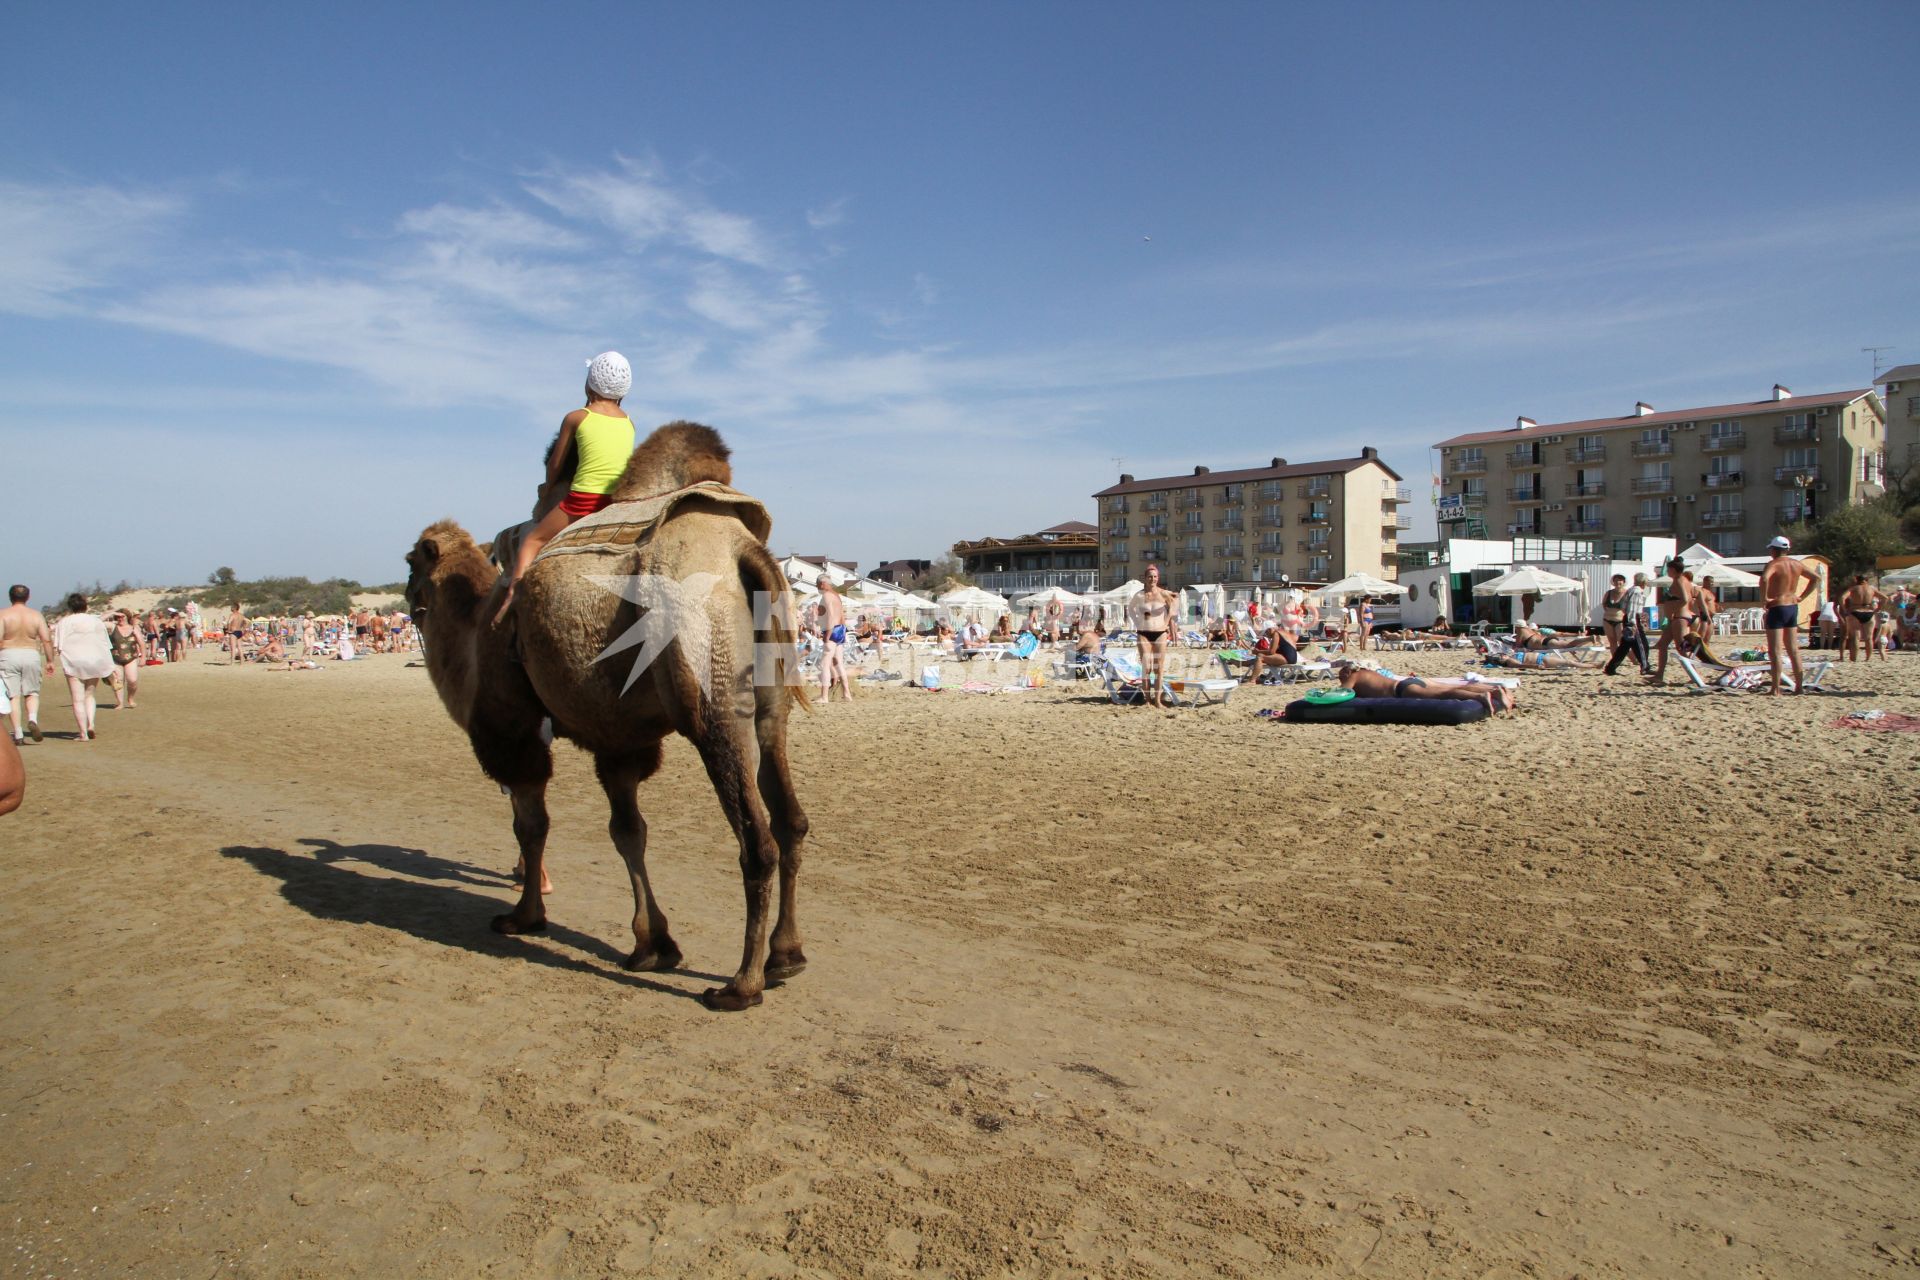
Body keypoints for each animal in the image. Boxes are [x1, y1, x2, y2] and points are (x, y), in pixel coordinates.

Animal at [405, 427, 810, 1013]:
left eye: (411, 562)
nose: (406, 596)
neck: (473, 630)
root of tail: (744, 552)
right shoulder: (617, 739)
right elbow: (628, 833)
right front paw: (652, 943)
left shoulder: (513, 728)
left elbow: (531, 823)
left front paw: (524, 916)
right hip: (772, 701)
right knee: (791, 820)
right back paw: (786, 956)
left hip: (707, 684)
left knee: (757, 841)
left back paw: (740, 985)